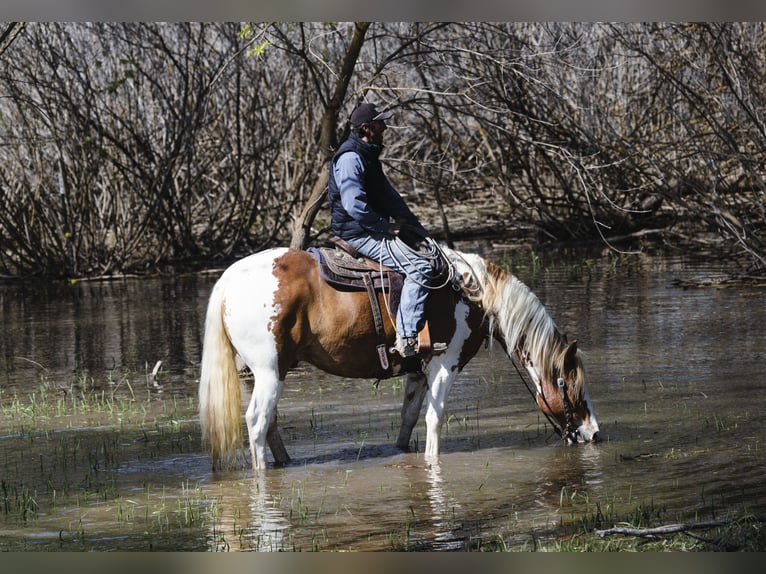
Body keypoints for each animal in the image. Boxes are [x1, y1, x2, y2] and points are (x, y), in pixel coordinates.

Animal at [198, 245, 600, 471]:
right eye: (572, 388)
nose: (594, 433)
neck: (474, 294)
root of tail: (228, 280)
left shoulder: (418, 370)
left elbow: (408, 417)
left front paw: (402, 453)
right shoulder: (445, 365)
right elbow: (435, 419)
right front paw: (433, 462)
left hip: (267, 373)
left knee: (270, 423)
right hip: (269, 371)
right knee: (256, 422)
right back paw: (262, 473)